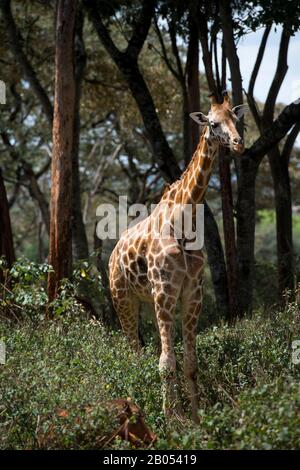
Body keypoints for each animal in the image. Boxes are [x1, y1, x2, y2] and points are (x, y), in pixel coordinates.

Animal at [109, 92, 245, 422]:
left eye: (236, 118)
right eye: (213, 123)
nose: (238, 143)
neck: (184, 220)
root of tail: (112, 254)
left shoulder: (192, 293)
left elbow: (190, 363)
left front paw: (194, 419)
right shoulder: (165, 292)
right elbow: (166, 363)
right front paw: (170, 419)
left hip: (143, 302)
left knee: (139, 349)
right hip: (123, 299)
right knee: (132, 351)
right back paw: (134, 405)